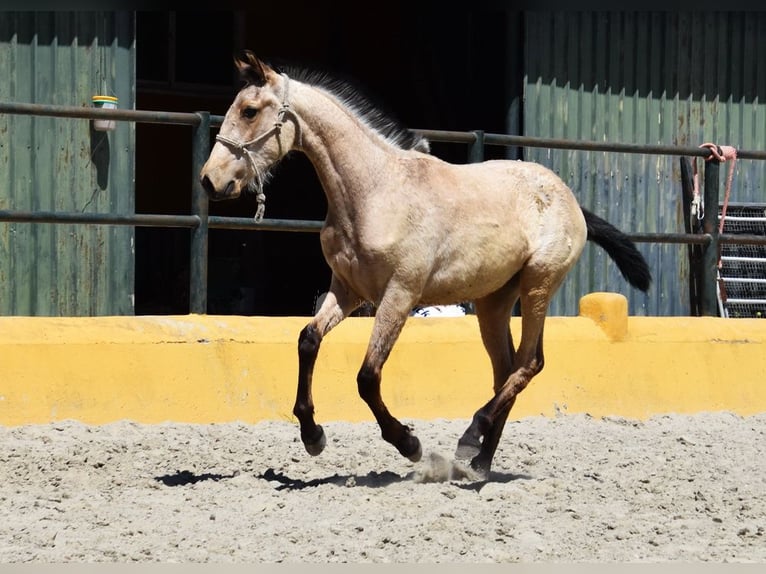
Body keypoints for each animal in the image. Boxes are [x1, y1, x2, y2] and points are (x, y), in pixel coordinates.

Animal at [200, 50, 656, 482]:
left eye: (250, 110)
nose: (210, 180)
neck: (374, 191)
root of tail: (570, 200)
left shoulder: (400, 294)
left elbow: (368, 376)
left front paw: (409, 444)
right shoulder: (347, 290)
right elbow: (307, 340)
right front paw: (313, 436)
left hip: (538, 285)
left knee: (529, 364)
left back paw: (470, 439)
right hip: (493, 302)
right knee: (506, 371)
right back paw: (479, 463)